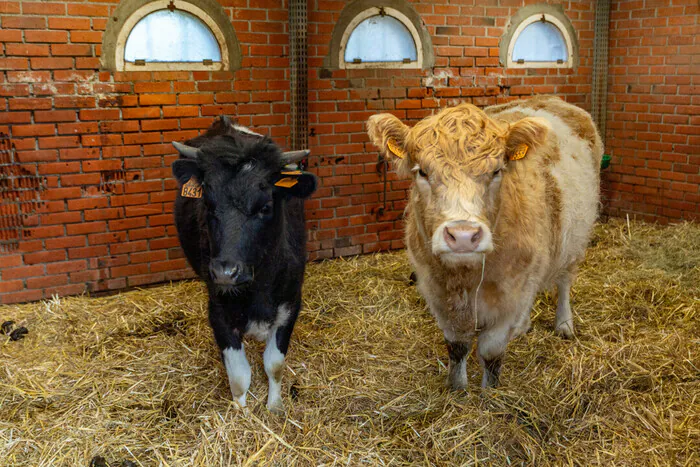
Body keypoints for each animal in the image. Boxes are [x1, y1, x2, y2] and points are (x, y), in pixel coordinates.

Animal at [366, 97, 600, 390]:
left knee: (565, 281)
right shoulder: (438, 293)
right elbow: (457, 346)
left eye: (497, 170)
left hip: (575, 240)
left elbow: (491, 352)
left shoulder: (508, 296)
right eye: (422, 172)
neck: (467, 279)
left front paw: (490, 392)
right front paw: (456, 388)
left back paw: (564, 324)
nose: (463, 235)